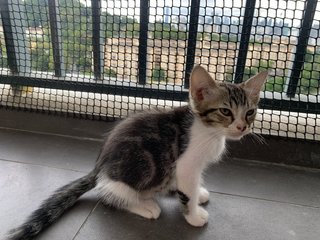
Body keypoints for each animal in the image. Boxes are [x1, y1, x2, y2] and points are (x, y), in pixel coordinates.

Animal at [7, 64, 268, 239]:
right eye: (225, 112)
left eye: (250, 112)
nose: (242, 127)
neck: (209, 131)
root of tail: (98, 167)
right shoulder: (186, 163)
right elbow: (187, 192)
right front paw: (193, 215)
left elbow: (191, 187)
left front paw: (198, 193)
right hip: (126, 178)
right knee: (108, 193)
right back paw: (145, 205)